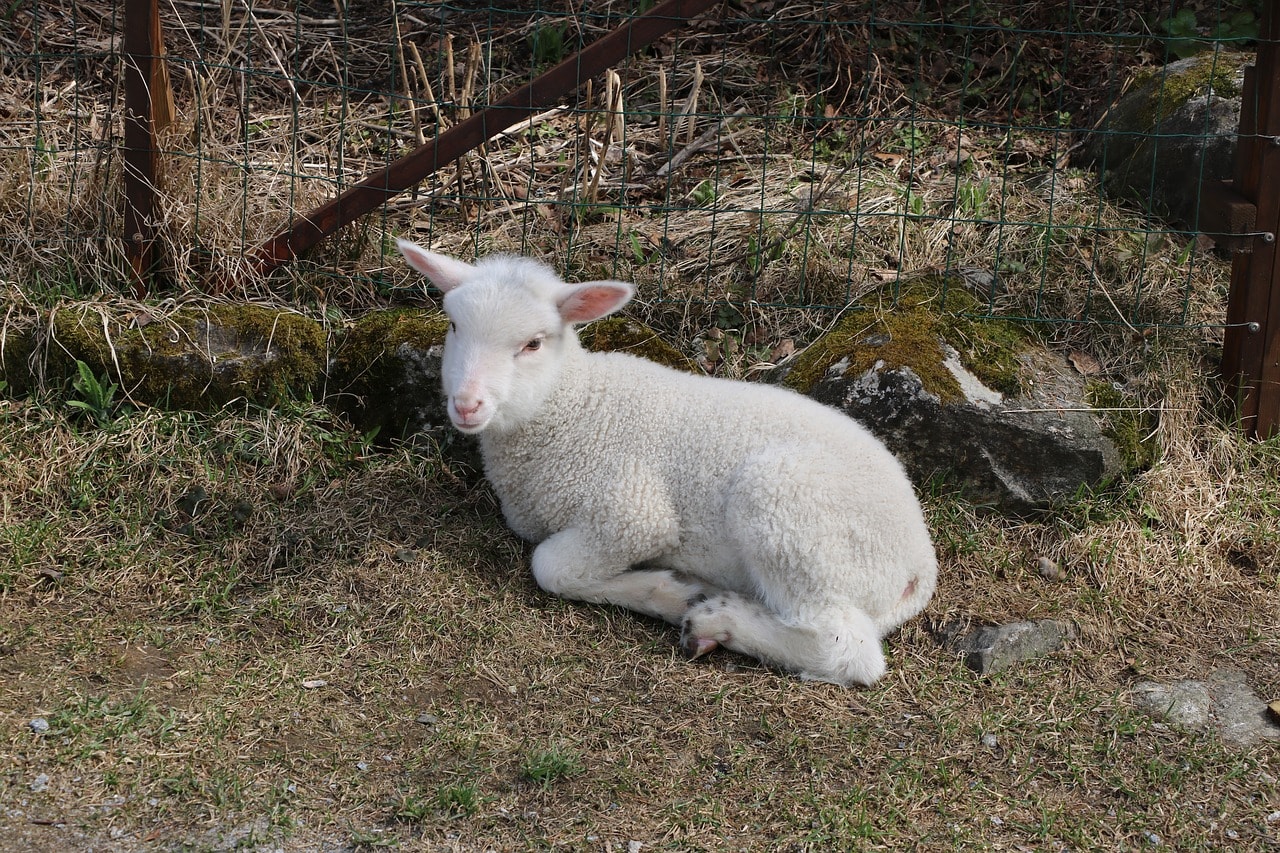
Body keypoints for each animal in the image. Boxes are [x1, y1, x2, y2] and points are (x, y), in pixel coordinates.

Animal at [394, 239, 936, 686]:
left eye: (533, 343)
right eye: (454, 326)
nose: (467, 405)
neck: (574, 408)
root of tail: (919, 568)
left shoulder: (632, 514)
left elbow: (551, 567)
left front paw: (671, 591)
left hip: (793, 515)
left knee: (847, 650)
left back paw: (719, 620)